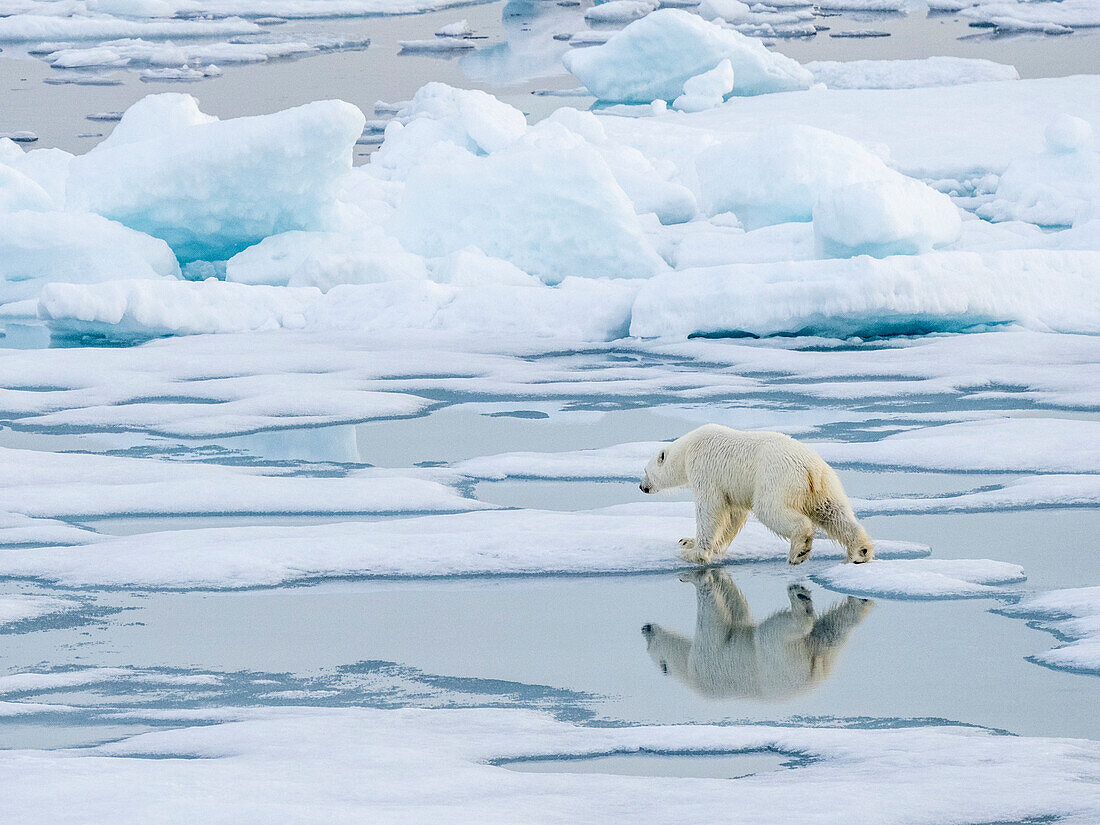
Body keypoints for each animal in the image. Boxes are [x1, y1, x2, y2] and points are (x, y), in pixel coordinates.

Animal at [642, 422, 871, 567]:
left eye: (645, 471)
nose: (642, 487)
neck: (687, 448)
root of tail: (809, 468)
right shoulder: (733, 486)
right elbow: (733, 514)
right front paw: (688, 541)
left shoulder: (705, 470)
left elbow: (710, 509)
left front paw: (694, 552)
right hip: (825, 485)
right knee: (834, 514)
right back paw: (861, 551)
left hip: (777, 479)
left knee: (770, 510)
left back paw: (799, 551)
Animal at [642, 576, 871, 704]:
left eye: (648, 648)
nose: (645, 628)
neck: (687, 670)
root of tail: (814, 669)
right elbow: (736, 609)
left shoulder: (703, 661)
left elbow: (714, 620)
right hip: (818, 655)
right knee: (832, 629)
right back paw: (859, 603)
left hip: (776, 656)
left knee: (779, 628)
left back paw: (799, 596)